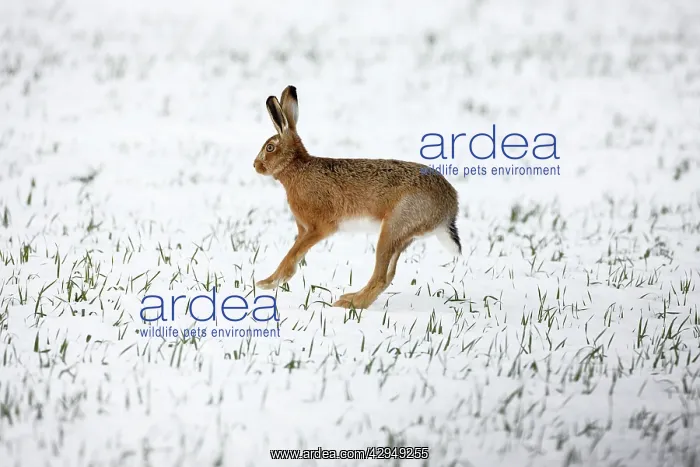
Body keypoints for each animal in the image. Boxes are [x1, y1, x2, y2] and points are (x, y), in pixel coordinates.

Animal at [253, 85, 461, 309]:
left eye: (270, 147)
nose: (255, 165)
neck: (296, 168)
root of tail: (449, 208)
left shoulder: (319, 228)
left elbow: (292, 255)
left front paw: (268, 283)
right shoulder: (304, 229)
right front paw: (272, 281)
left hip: (393, 228)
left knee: (381, 277)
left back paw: (349, 303)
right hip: (400, 235)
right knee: (387, 276)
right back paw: (351, 298)